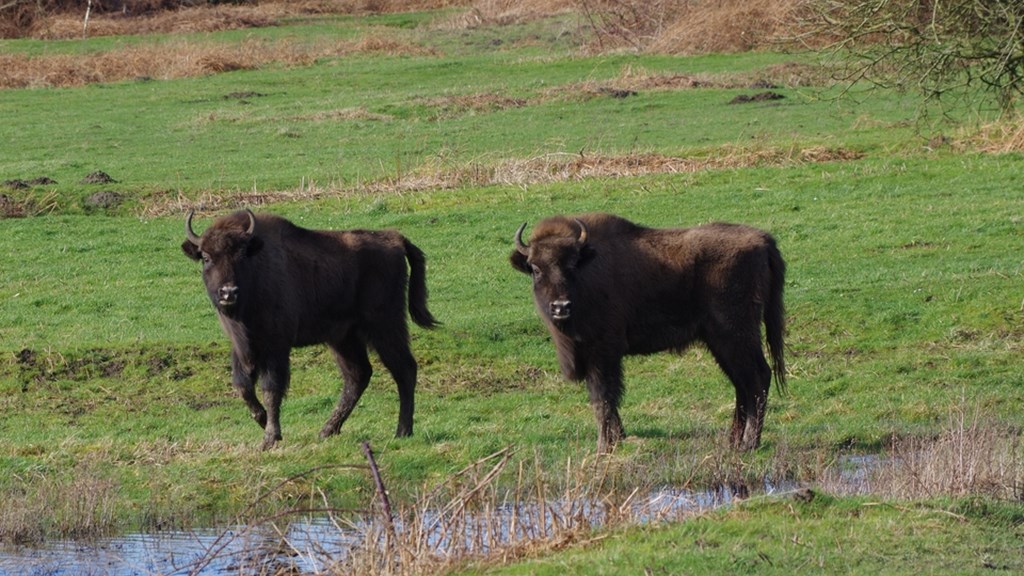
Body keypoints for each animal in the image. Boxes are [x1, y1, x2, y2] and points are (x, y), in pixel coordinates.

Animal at [182, 209, 438, 449]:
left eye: (243, 255)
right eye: (206, 257)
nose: (228, 292)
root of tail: (395, 239)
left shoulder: (276, 347)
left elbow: (271, 389)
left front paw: (270, 437)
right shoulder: (242, 347)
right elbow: (242, 386)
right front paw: (263, 420)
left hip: (385, 327)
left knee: (404, 369)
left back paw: (402, 431)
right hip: (344, 339)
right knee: (358, 375)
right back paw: (327, 430)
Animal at [510, 213, 785, 453]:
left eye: (571, 265)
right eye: (535, 268)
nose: (561, 307)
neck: (587, 270)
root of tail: (763, 240)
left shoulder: (602, 353)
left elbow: (603, 399)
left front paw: (604, 447)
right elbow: (607, 400)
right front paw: (618, 438)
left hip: (735, 335)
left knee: (757, 378)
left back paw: (749, 444)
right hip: (720, 342)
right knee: (742, 383)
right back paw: (734, 441)